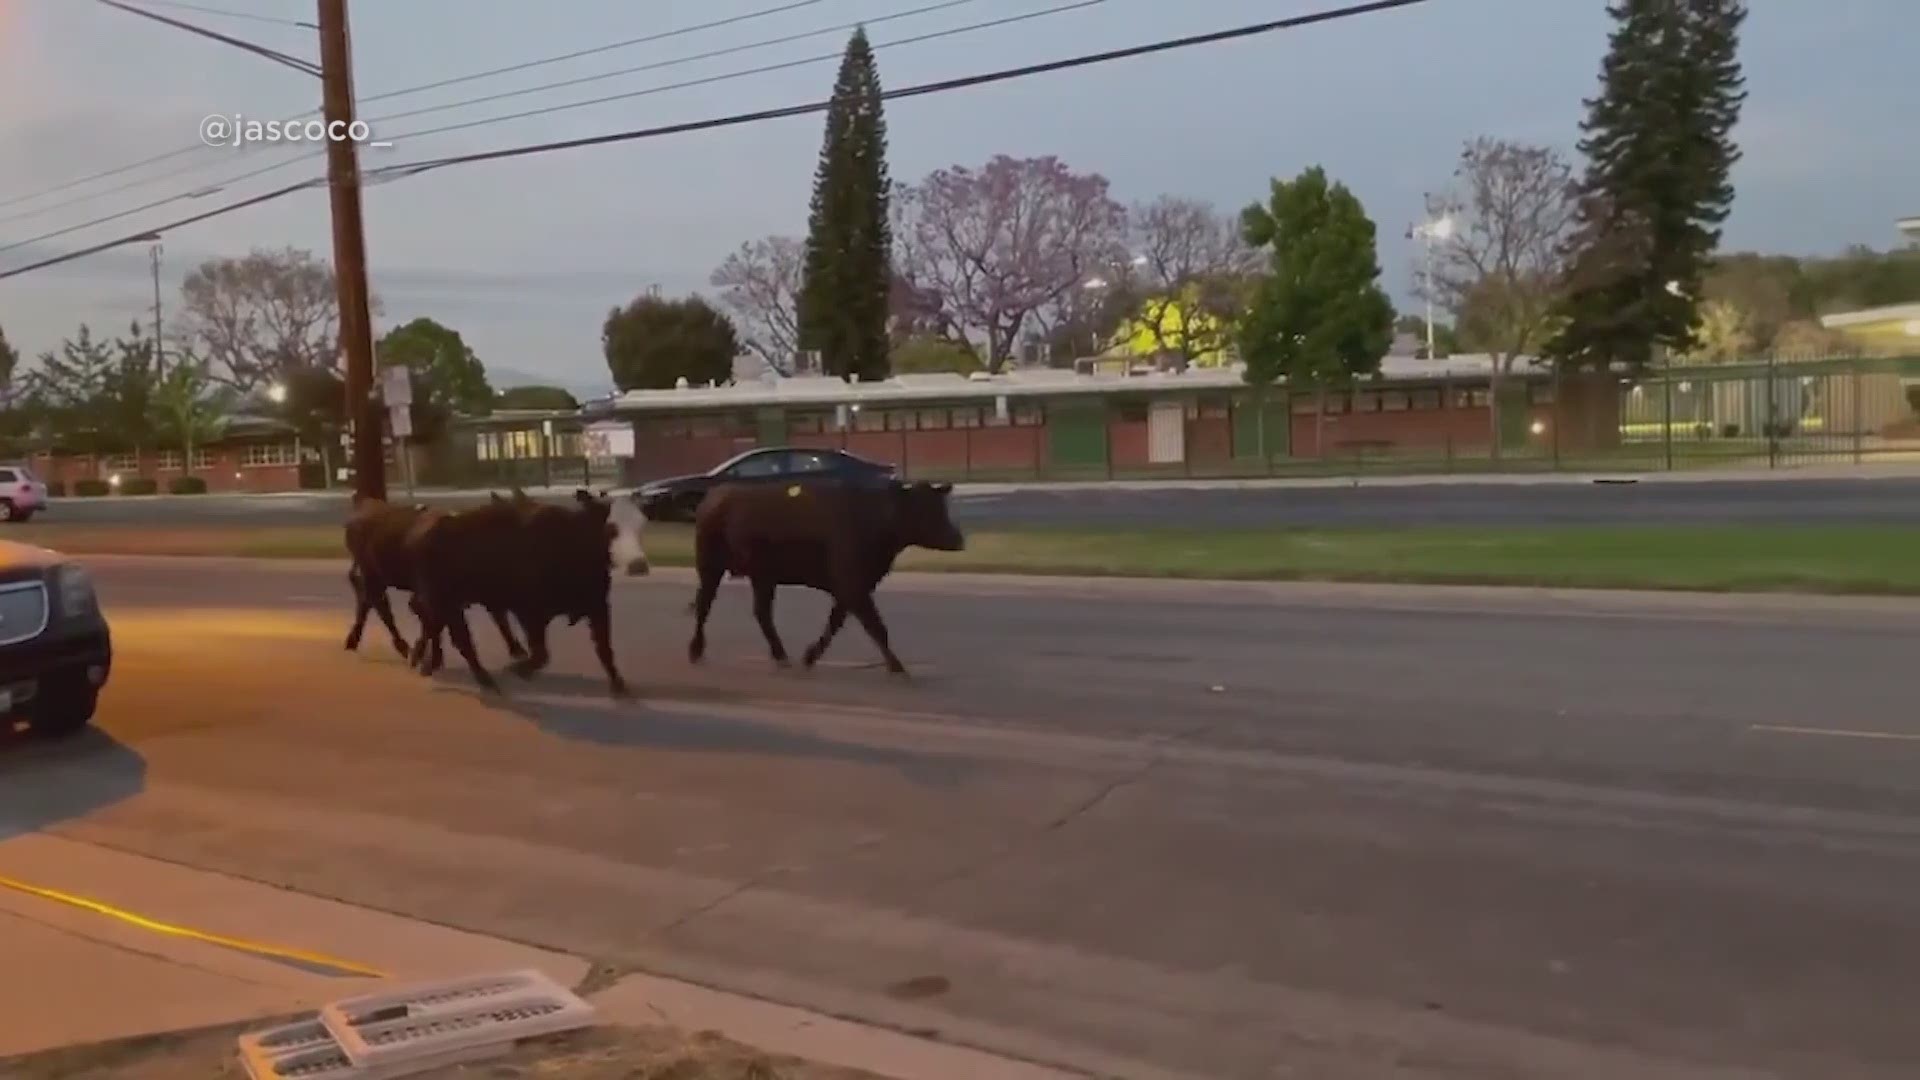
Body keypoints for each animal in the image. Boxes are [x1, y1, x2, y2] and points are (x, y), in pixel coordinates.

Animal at [343, 491, 526, 661]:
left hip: (378, 577)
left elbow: (499, 617)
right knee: (377, 603)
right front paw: (423, 653)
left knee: (368, 600)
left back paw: (357, 640)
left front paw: (517, 649)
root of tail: (362, 506)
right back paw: (398, 645)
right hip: (372, 573)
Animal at [408, 486, 648, 687]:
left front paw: (619, 685)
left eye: (641, 526)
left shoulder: (597, 605)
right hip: (440, 598)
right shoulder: (529, 612)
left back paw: (427, 660)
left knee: (435, 625)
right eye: (611, 528)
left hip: (450, 602)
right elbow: (541, 654)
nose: (639, 565)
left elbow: (605, 649)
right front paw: (519, 670)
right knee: (451, 633)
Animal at [687, 478, 960, 672]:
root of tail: (715, 493)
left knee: (762, 613)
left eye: (941, 507)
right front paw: (897, 667)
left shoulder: (852, 587)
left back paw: (781, 655)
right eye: (923, 509)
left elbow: (835, 622)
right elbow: (876, 626)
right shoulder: (852, 584)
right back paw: (695, 650)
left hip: (762, 575)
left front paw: (810, 655)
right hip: (710, 565)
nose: (958, 539)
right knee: (704, 605)